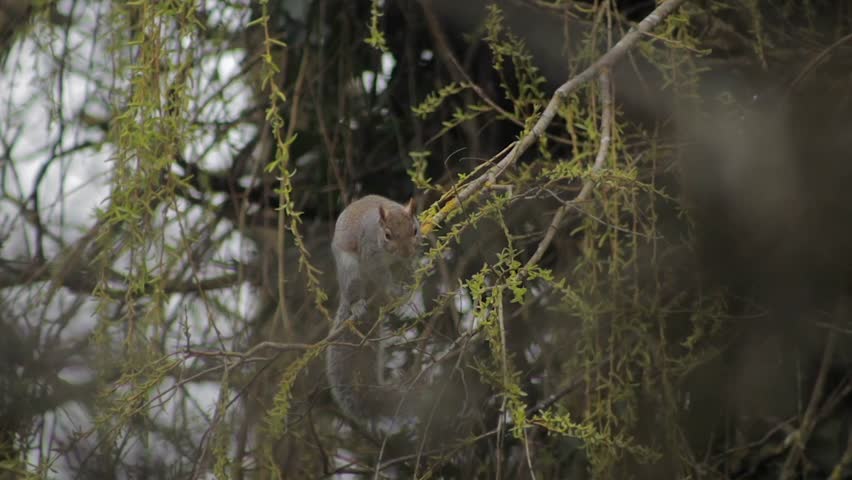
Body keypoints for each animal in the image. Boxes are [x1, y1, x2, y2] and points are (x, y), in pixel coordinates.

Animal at [326, 194, 421, 433]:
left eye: (415, 229)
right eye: (387, 235)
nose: (406, 252)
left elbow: (408, 266)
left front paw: (412, 270)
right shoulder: (370, 254)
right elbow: (380, 275)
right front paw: (392, 288)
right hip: (350, 272)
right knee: (355, 290)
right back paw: (358, 305)